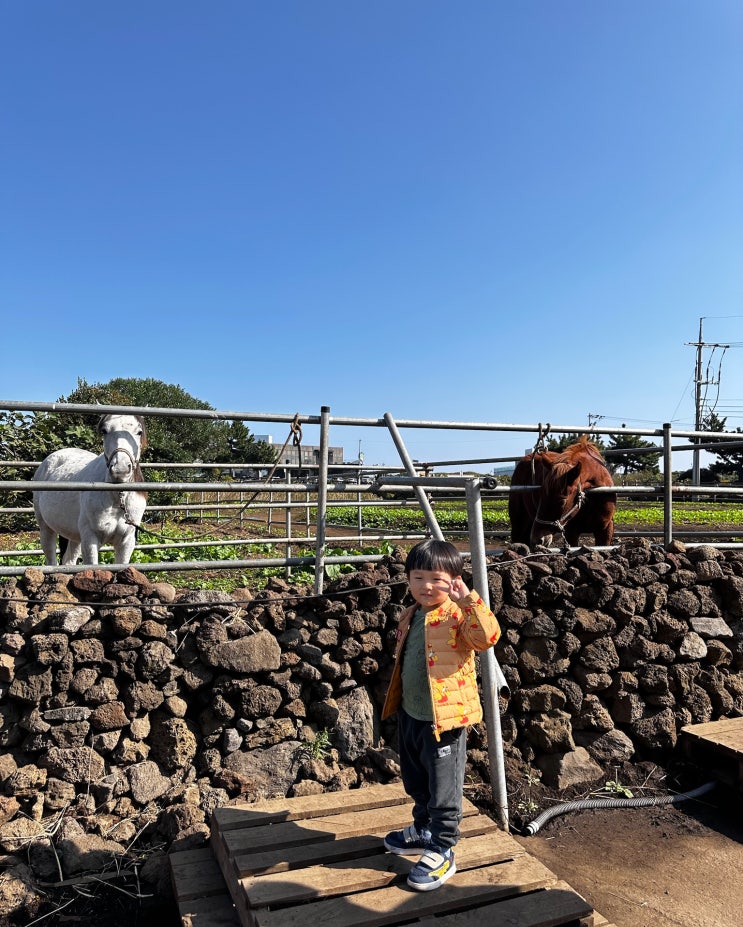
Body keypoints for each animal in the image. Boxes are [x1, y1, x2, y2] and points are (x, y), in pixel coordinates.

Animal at [32, 416, 148, 564]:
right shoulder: (90, 540)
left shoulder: (126, 542)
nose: (120, 470)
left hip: (74, 536)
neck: (117, 499)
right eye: (104, 431)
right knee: (51, 560)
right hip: (46, 528)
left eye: (139, 432)